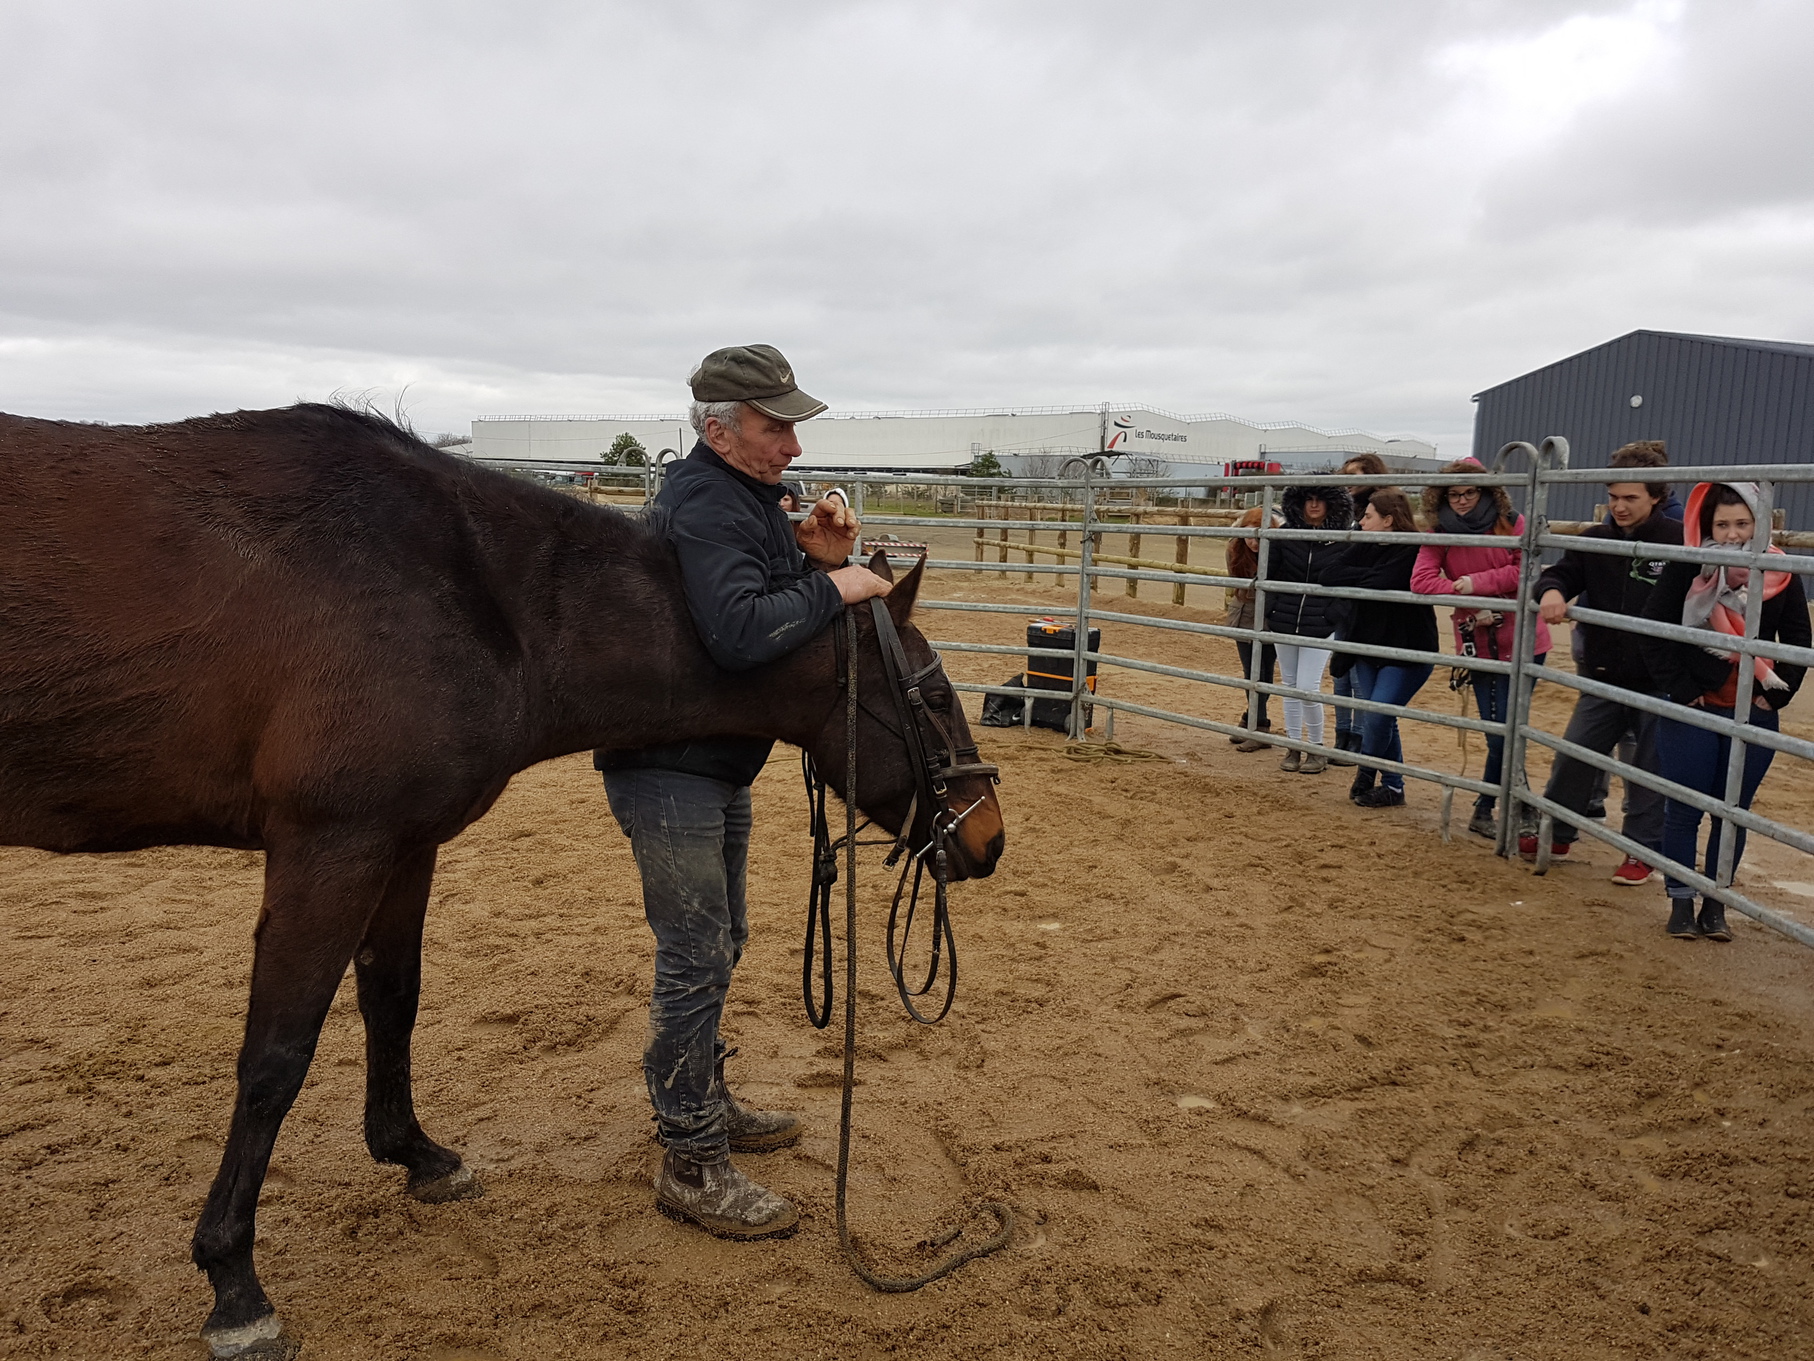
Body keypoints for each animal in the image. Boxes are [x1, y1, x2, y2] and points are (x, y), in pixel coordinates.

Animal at [0, 402, 1008, 1357]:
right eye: (934, 694)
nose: (988, 838)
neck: (473, 595)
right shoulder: (330, 849)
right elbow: (274, 1058)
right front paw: (235, 1284)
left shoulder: (402, 845)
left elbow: (393, 1001)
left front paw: (417, 1155)